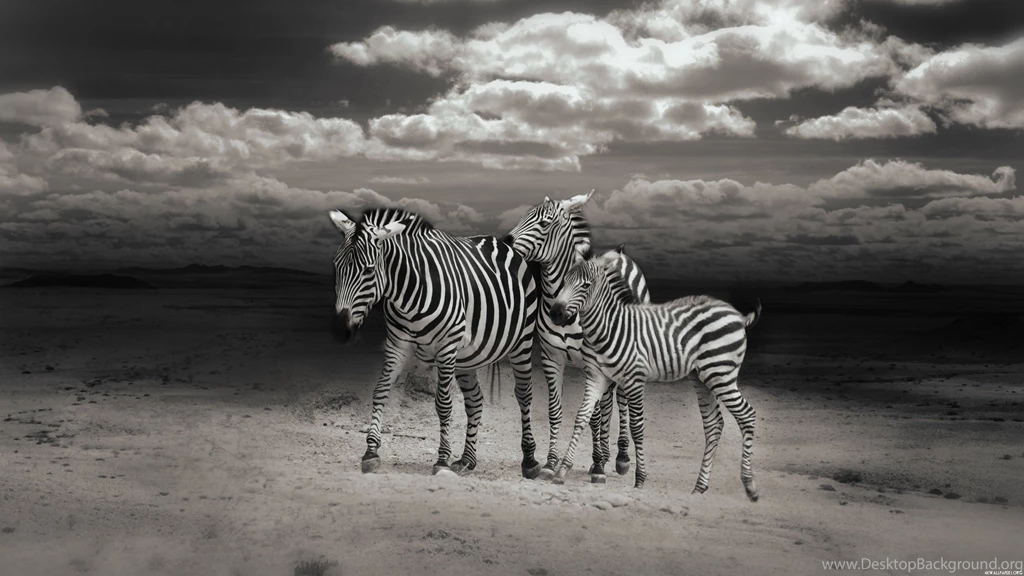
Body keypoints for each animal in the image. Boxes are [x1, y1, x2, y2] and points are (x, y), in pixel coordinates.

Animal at [328, 207, 543, 478]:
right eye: (336, 266)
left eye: (368, 270)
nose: (339, 331)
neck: (407, 293)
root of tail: (504, 243)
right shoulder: (397, 345)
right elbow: (380, 391)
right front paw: (371, 452)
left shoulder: (446, 346)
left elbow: (443, 404)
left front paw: (441, 460)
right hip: (467, 356)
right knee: (475, 401)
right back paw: (466, 460)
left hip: (521, 342)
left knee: (524, 394)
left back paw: (530, 461)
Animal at [502, 190, 651, 483]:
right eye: (523, 216)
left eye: (545, 224)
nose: (506, 242)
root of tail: (621, 255)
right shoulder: (551, 359)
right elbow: (556, 411)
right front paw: (551, 463)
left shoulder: (590, 363)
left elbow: (593, 415)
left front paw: (598, 465)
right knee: (609, 403)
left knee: (619, 401)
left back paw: (619, 458)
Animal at [548, 249, 762, 501]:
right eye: (564, 282)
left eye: (586, 285)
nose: (555, 313)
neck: (609, 327)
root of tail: (737, 315)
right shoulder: (596, 376)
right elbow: (581, 417)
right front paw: (562, 470)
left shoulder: (634, 379)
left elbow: (637, 427)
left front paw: (640, 479)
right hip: (702, 377)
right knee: (714, 424)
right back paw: (700, 487)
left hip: (721, 373)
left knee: (747, 415)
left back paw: (750, 486)